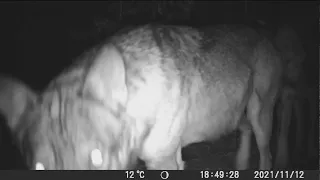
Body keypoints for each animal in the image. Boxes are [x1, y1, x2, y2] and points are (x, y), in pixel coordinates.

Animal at [0, 24, 282, 170]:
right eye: (39, 169)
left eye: (96, 158)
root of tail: (265, 33)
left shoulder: (162, 159)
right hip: (237, 115)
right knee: (245, 132)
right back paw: (240, 163)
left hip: (260, 116)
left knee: (267, 155)